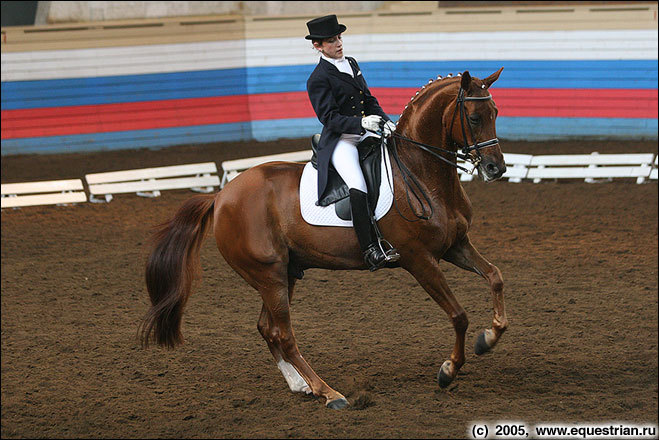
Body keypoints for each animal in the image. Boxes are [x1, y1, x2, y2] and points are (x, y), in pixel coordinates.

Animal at [139, 68, 510, 410]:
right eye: (474, 117)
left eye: (495, 113)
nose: (496, 169)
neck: (420, 172)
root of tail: (221, 196)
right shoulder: (418, 259)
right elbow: (458, 315)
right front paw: (449, 369)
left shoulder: (455, 246)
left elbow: (495, 277)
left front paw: (489, 337)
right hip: (268, 274)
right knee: (284, 334)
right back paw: (328, 392)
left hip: (283, 273)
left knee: (267, 328)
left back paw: (299, 385)